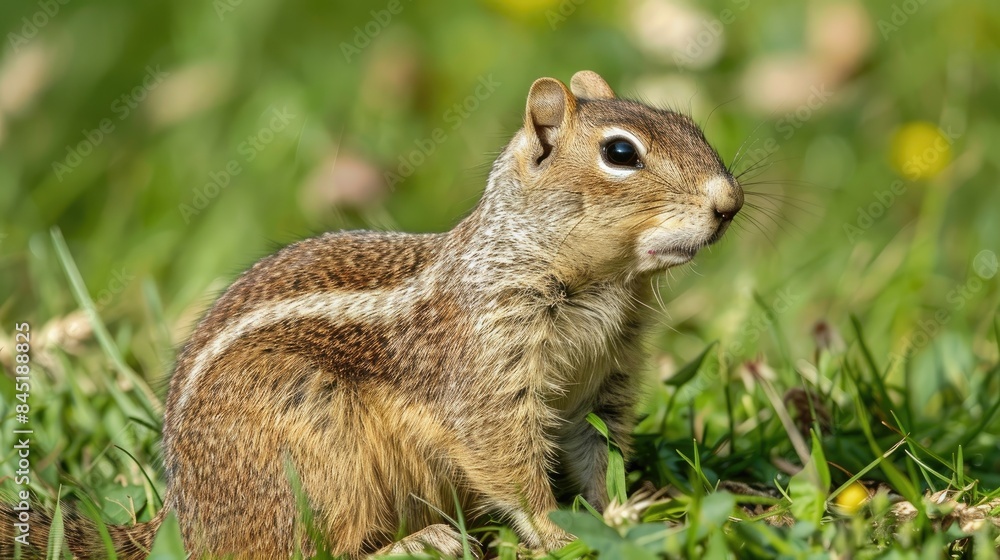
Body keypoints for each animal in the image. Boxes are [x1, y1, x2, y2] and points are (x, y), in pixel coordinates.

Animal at [1, 70, 742, 558]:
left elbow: (597, 456)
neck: (604, 286)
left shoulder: (604, 384)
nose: (729, 201)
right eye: (620, 153)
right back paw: (422, 542)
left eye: (693, 127)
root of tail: (181, 521)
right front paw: (560, 534)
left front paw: (625, 514)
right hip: (316, 453)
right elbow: (508, 463)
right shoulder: (488, 373)